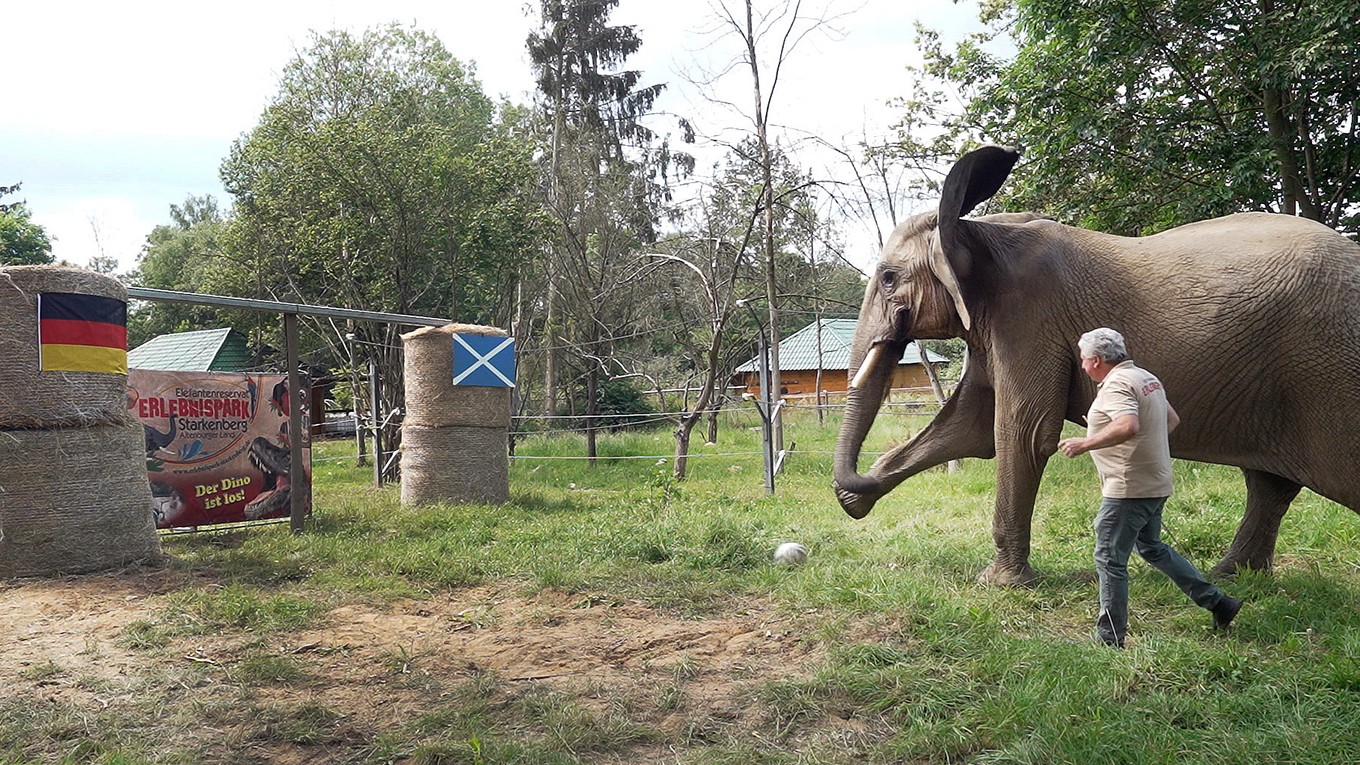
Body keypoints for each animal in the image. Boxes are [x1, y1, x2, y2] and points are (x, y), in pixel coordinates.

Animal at [832, 144, 1360, 582]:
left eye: (888, 278)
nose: (855, 484)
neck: (978, 227)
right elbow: (972, 427)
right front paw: (860, 495)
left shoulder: (1029, 318)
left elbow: (1021, 431)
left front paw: (999, 584)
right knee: (1269, 486)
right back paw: (1232, 576)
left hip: (1330, 369)